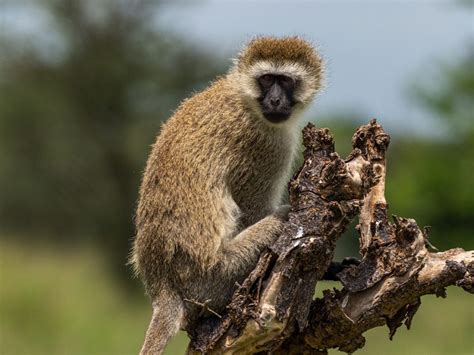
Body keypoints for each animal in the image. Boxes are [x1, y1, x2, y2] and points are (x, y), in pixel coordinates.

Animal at [130, 36, 324, 355]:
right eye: (267, 79)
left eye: (285, 81)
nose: (274, 101)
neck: (243, 96)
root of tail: (164, 287)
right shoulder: (268, 147)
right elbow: (253, 210)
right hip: (216, 278)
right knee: (283, 219)